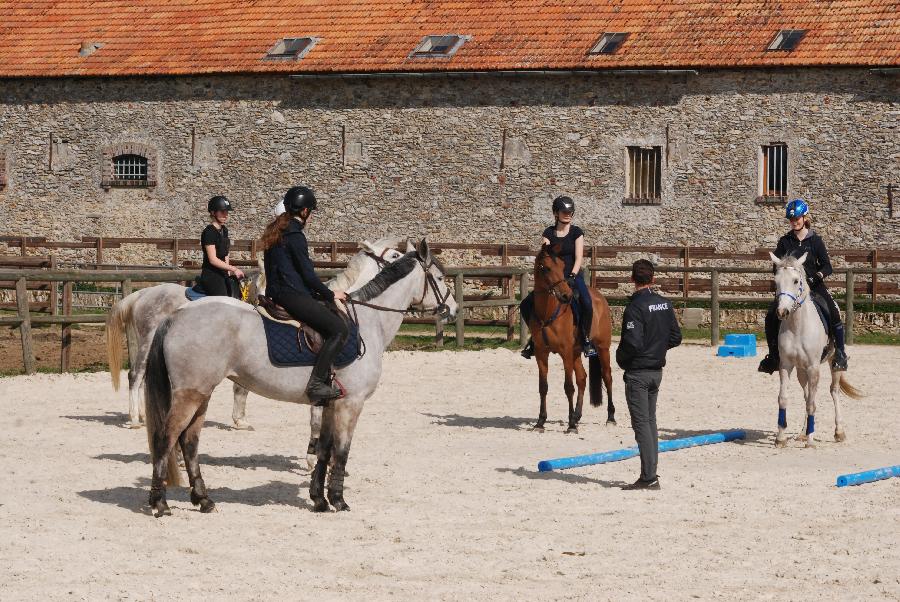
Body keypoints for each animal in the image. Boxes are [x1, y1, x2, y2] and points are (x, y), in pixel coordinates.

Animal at [146, 237, 458, 512]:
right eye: (441, 278)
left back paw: (203, 500)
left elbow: (324, 450)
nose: (453, 309)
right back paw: (160, 504)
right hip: (190, 395)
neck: (369, 323)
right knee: (166, 437)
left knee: (189, 441)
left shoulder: (331, 404)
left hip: (202, 394)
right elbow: (341, 452)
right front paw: (339, 500)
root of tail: (178, 315)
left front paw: (319, 499)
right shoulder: (351, 404)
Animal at [532, 244, 616, 432]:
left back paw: (610, 417)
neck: (548, 312)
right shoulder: (541, 353)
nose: (566, 296)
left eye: (562, 266)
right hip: (576, 352)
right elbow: (542, 387)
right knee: (582, 378)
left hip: (602, 348)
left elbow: (568, 387)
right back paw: (577, 416)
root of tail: (600, 297)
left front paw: (570, 425)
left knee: (607, 377)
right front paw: (540, 421)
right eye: (546, 268)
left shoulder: (565, 353)